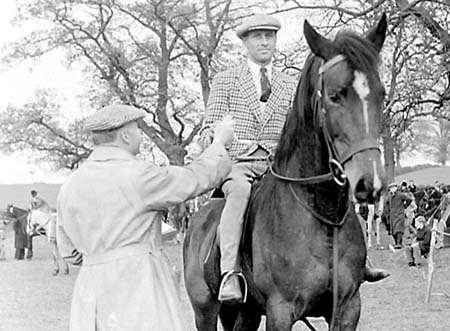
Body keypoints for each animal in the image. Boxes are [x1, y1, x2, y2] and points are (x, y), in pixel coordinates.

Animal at [183, 14, 386, 331]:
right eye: (334, 96)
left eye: (381, 94)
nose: (370, 182)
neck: (322, 215)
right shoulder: (280, 310)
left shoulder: (348, 308)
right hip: (204, 310)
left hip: (247, 312)